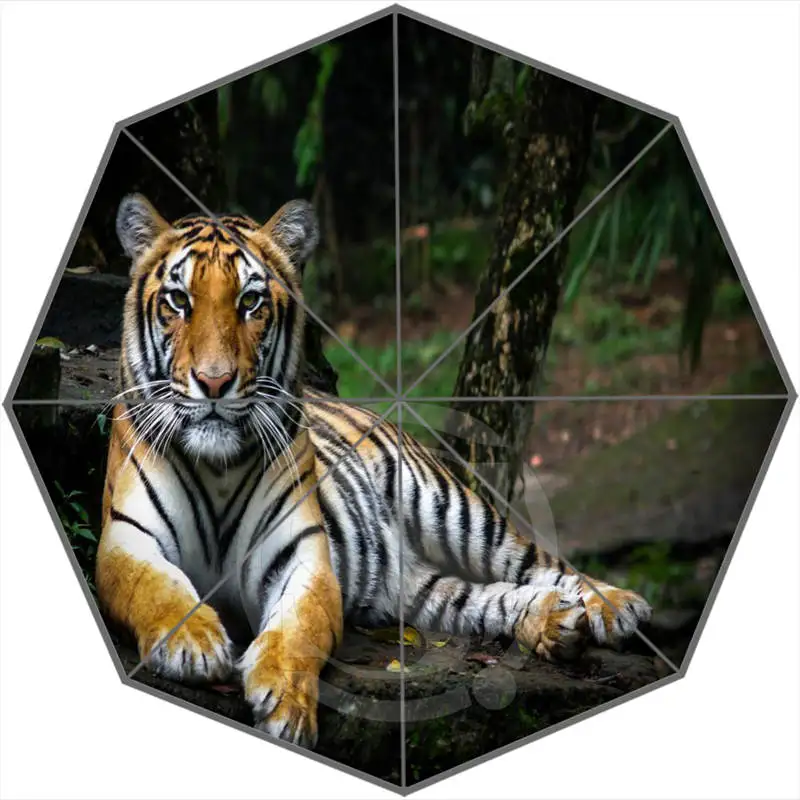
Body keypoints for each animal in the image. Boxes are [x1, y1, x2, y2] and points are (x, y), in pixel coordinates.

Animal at [96, 193, 652, 749]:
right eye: (178, 301)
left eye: (250, 302)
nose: (214, 381)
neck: (218, 465)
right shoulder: (126, 540)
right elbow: (156, 588)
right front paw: (194, 643)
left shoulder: (302, 557)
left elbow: (298, 630)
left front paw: (287, 705)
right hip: (423, 592)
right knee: (484, 599)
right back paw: (556, 621)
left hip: (454, 511)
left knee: (540, 561)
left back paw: (616, 607)